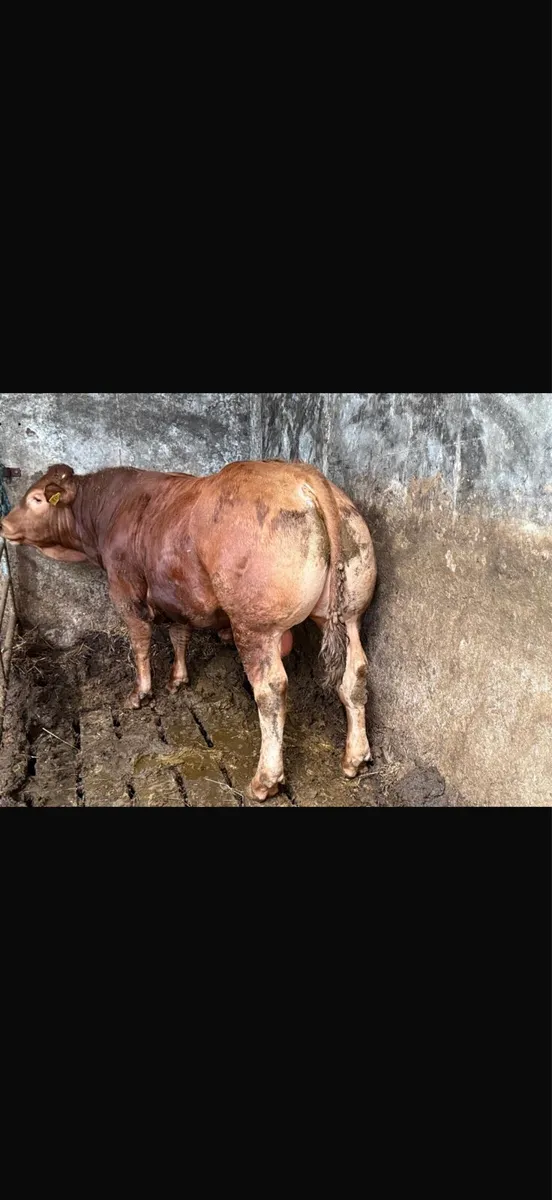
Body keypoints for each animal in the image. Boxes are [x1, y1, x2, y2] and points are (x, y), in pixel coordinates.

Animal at [1, 460, 377, 801]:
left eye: (36, 498)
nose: (4, 523)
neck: (112, 508)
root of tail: (301, 474)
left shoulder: (124, 590)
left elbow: (140, 642)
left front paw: (140, 693)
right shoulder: (176, 594)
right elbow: (179, 634)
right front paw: (178, 679)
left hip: (256, 627)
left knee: (271, 692)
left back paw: (265, 781)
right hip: (350, 613)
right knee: (356, 673)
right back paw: (354, 758)